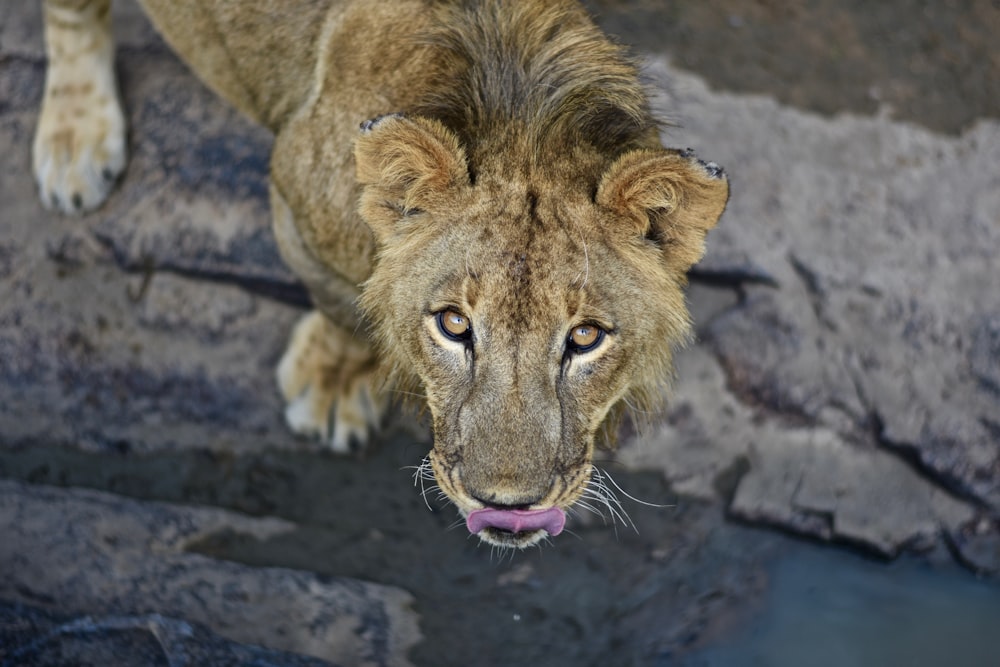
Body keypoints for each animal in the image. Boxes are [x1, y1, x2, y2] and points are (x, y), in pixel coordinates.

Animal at [33, 0, 728, 548]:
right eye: (453, 325)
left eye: (585, 338)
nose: (507, 506)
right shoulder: (294, 203)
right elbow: (342, 310)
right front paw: (333, 386)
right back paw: (75, 143)